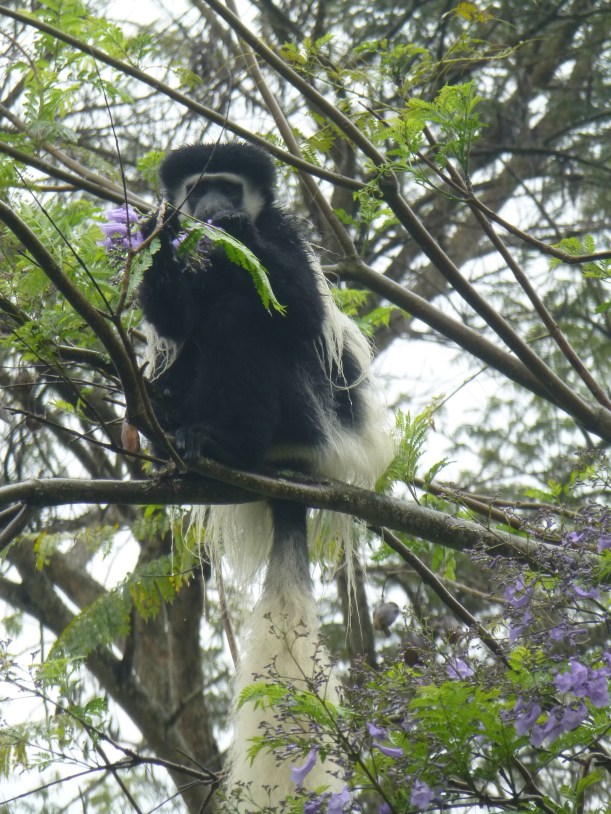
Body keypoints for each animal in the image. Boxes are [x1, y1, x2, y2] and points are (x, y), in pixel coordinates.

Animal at [138, 141, 394, 809]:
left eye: (227, 185)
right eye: (195, 187)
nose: (211, 206)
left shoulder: (282, 236)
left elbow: (297, 305)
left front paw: (236, 230)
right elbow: (172, 318)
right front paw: (160, 230)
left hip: (304, 412)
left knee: (245, 320)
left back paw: (223, 441)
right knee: (197, 336)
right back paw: (167, 423)